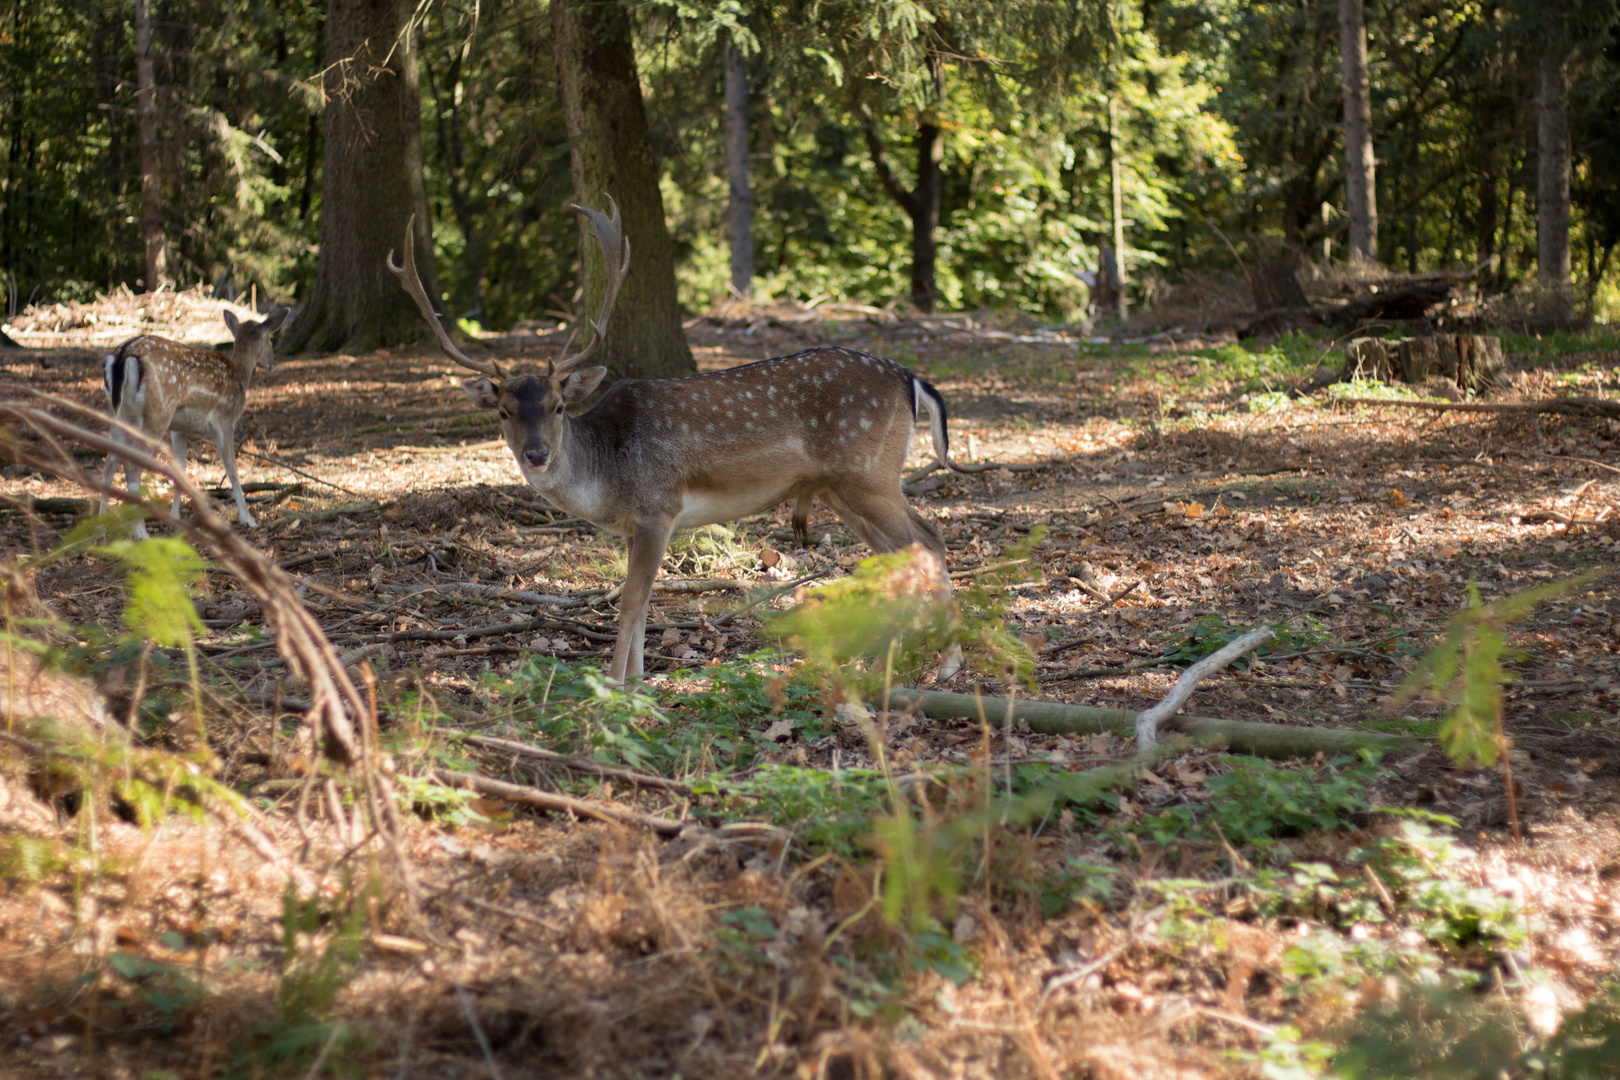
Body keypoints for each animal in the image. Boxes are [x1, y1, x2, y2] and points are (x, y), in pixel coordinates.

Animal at [97, 306, 288, 537]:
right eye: (270, 338)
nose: (275, 361)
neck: (240, 376)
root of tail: (123, 354)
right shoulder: (225, 419)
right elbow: (232, 469)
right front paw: (248, 519)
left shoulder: (179, 428)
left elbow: (180, 468)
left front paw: (175, 517)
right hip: (157, 413)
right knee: (132, 465)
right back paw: (141, 533)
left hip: (119, 411)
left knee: (110, 460)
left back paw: (100, 528)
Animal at [388, 198, 959, 680]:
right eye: (504, 411)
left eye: (557, 406)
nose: (537, 453)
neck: (608, 478)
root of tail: (912, 379)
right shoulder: (632, 527)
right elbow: (643, 601)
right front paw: (640, 680)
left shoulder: (657, 508)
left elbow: (631, 600)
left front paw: (614, 684)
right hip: (842, 490)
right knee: (900, 553)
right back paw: (891, 656)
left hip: (869, 474)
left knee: (929, 539)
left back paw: (948, 663)